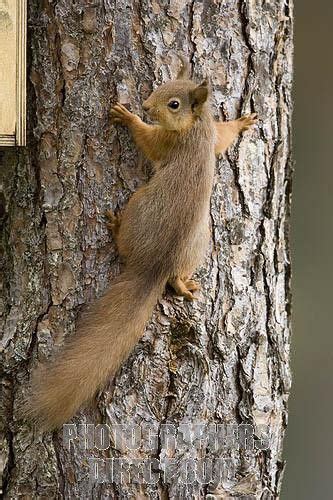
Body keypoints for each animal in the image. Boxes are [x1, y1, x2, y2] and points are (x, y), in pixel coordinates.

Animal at [27, 55, 256, 430]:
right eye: (160, 86)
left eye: (174, 104)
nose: (146, 106)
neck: (196, 126)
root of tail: (157, 265)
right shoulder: (212, 137)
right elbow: (224, 137)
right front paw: (242, 122)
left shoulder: (168, 142)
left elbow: (148, 141)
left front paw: (129, 117)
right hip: (200, 242)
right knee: (177, 279)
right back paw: (183, 283)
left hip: (139, 204)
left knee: (125, 241)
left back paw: (115, 224)